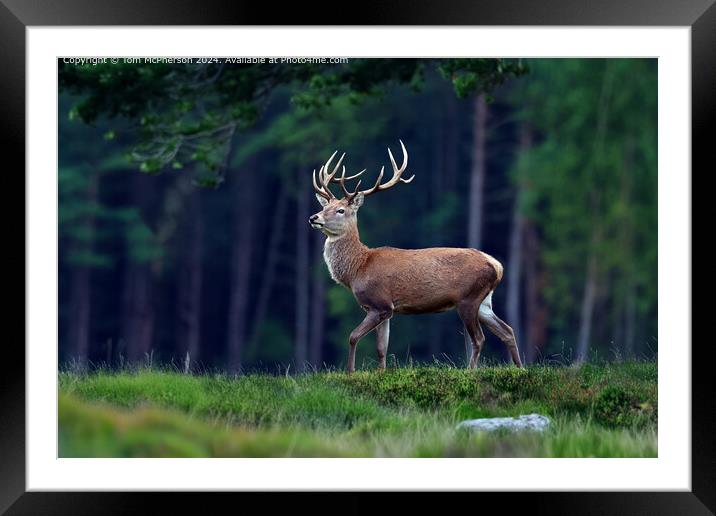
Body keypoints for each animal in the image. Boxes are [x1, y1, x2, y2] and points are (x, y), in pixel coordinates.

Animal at [306, 141, 520, 374]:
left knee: (479, 338)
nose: (313, 217)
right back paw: (520, 368)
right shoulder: (386, 310)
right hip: (484, 301)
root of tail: (497, 265)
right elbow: (382, 348)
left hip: (468, 298)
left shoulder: (379, 302)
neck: (358, 269)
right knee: (508, 331)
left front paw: (350, 372)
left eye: (340, 210)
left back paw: (471, 371)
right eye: (324, 206)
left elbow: (353, 337)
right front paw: (381, 373)